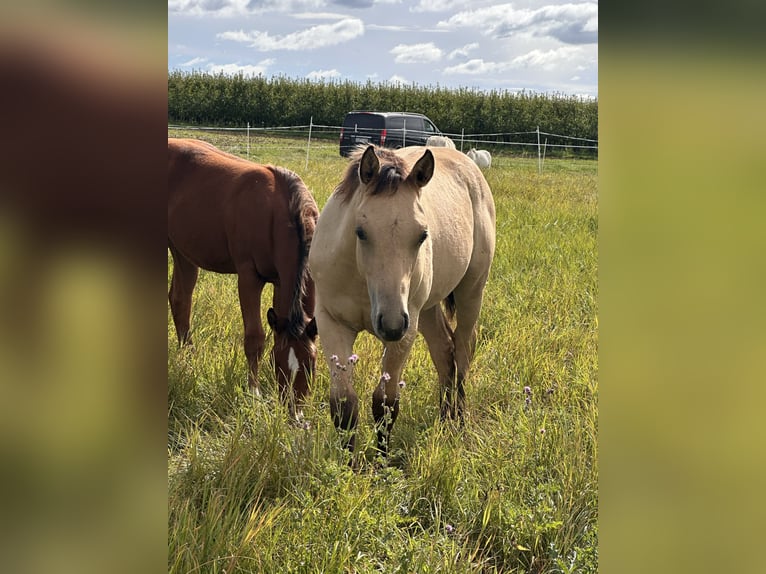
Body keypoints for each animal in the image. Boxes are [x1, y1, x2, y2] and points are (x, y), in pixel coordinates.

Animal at [168, 138, 319, 419]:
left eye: (311, 365)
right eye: (280, 364)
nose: (294, 415)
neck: (281, 211)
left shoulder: (281, 281)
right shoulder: (249, 277)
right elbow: (255, 338)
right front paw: (254, 393)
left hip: (182, 251)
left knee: (180, 299)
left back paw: (188, 357)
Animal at [309, 144, 496, 455]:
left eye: (422, 235)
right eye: (361, 232)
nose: (392, 324)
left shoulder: (405, 331)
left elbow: (385, 404)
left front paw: (381, 461)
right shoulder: (332, 322)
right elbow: (344, 406)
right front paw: (348, 462)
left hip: (470, 292)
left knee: (462, 350)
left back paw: (458, 421)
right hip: (428, 309)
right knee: (444, 351)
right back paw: (444, 418)